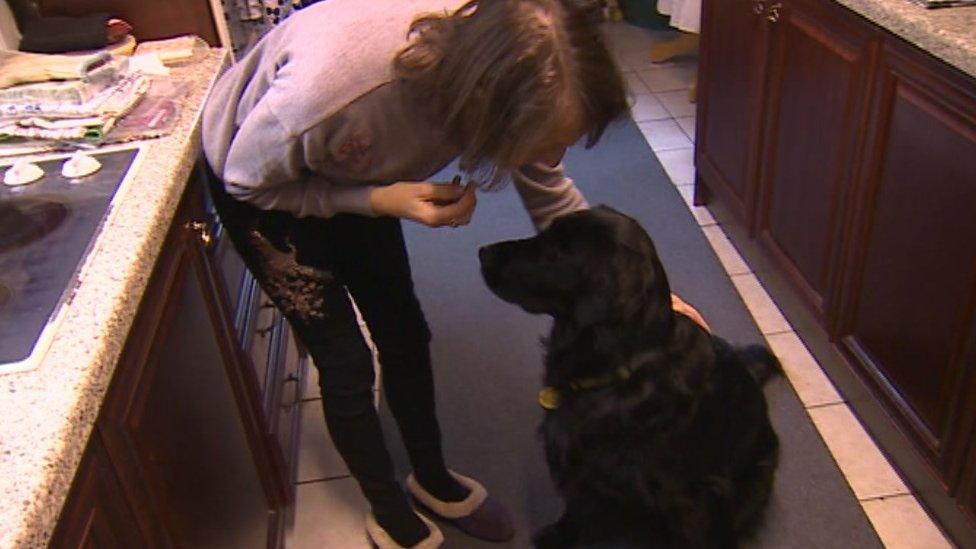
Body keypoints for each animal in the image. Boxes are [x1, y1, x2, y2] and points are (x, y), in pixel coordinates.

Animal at [476, 207, 780, 548]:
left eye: (559, 250)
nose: (483, 252)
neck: (621, 372)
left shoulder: (690, 498)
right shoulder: (577, 462)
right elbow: (575, 509)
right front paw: (559, 535)